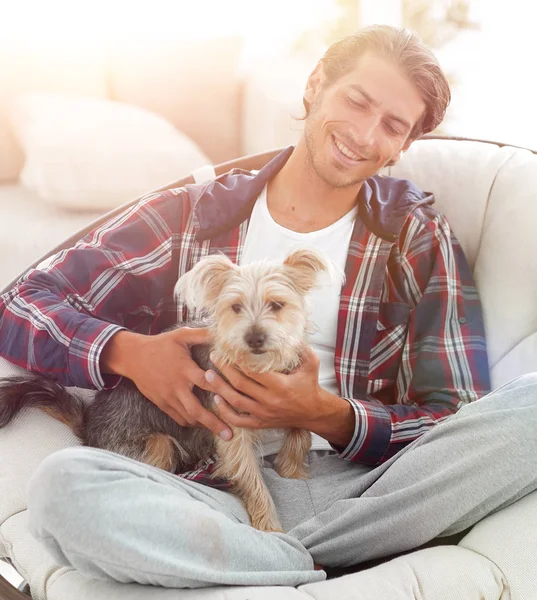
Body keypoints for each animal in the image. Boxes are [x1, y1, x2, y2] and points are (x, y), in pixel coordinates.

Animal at [0, 248, 330, 536]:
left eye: (277, 305)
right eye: (235, 307)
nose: (254, 338)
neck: (257, 368)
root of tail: (89, 425)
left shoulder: (291, 395)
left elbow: (303, 430)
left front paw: (291, 468)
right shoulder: (231, 432)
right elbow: (251, 476)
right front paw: (268, 524)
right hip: (155, 444)